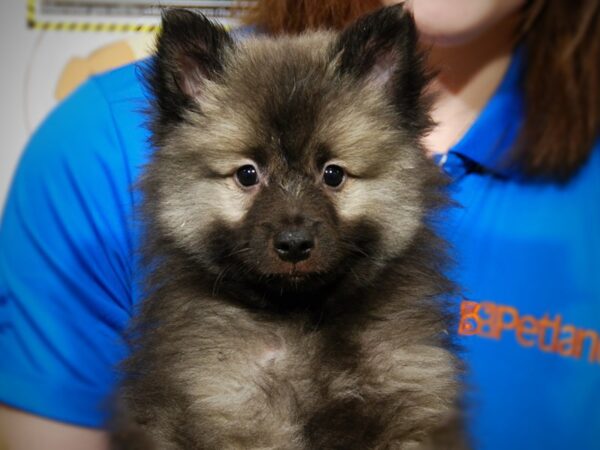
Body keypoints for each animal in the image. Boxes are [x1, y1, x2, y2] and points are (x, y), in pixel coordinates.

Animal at [112, 4, 468, 450]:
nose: (295, 244)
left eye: (333, 174)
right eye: (247, 174)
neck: (302, 320)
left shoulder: (411, 399)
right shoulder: (233, 409)